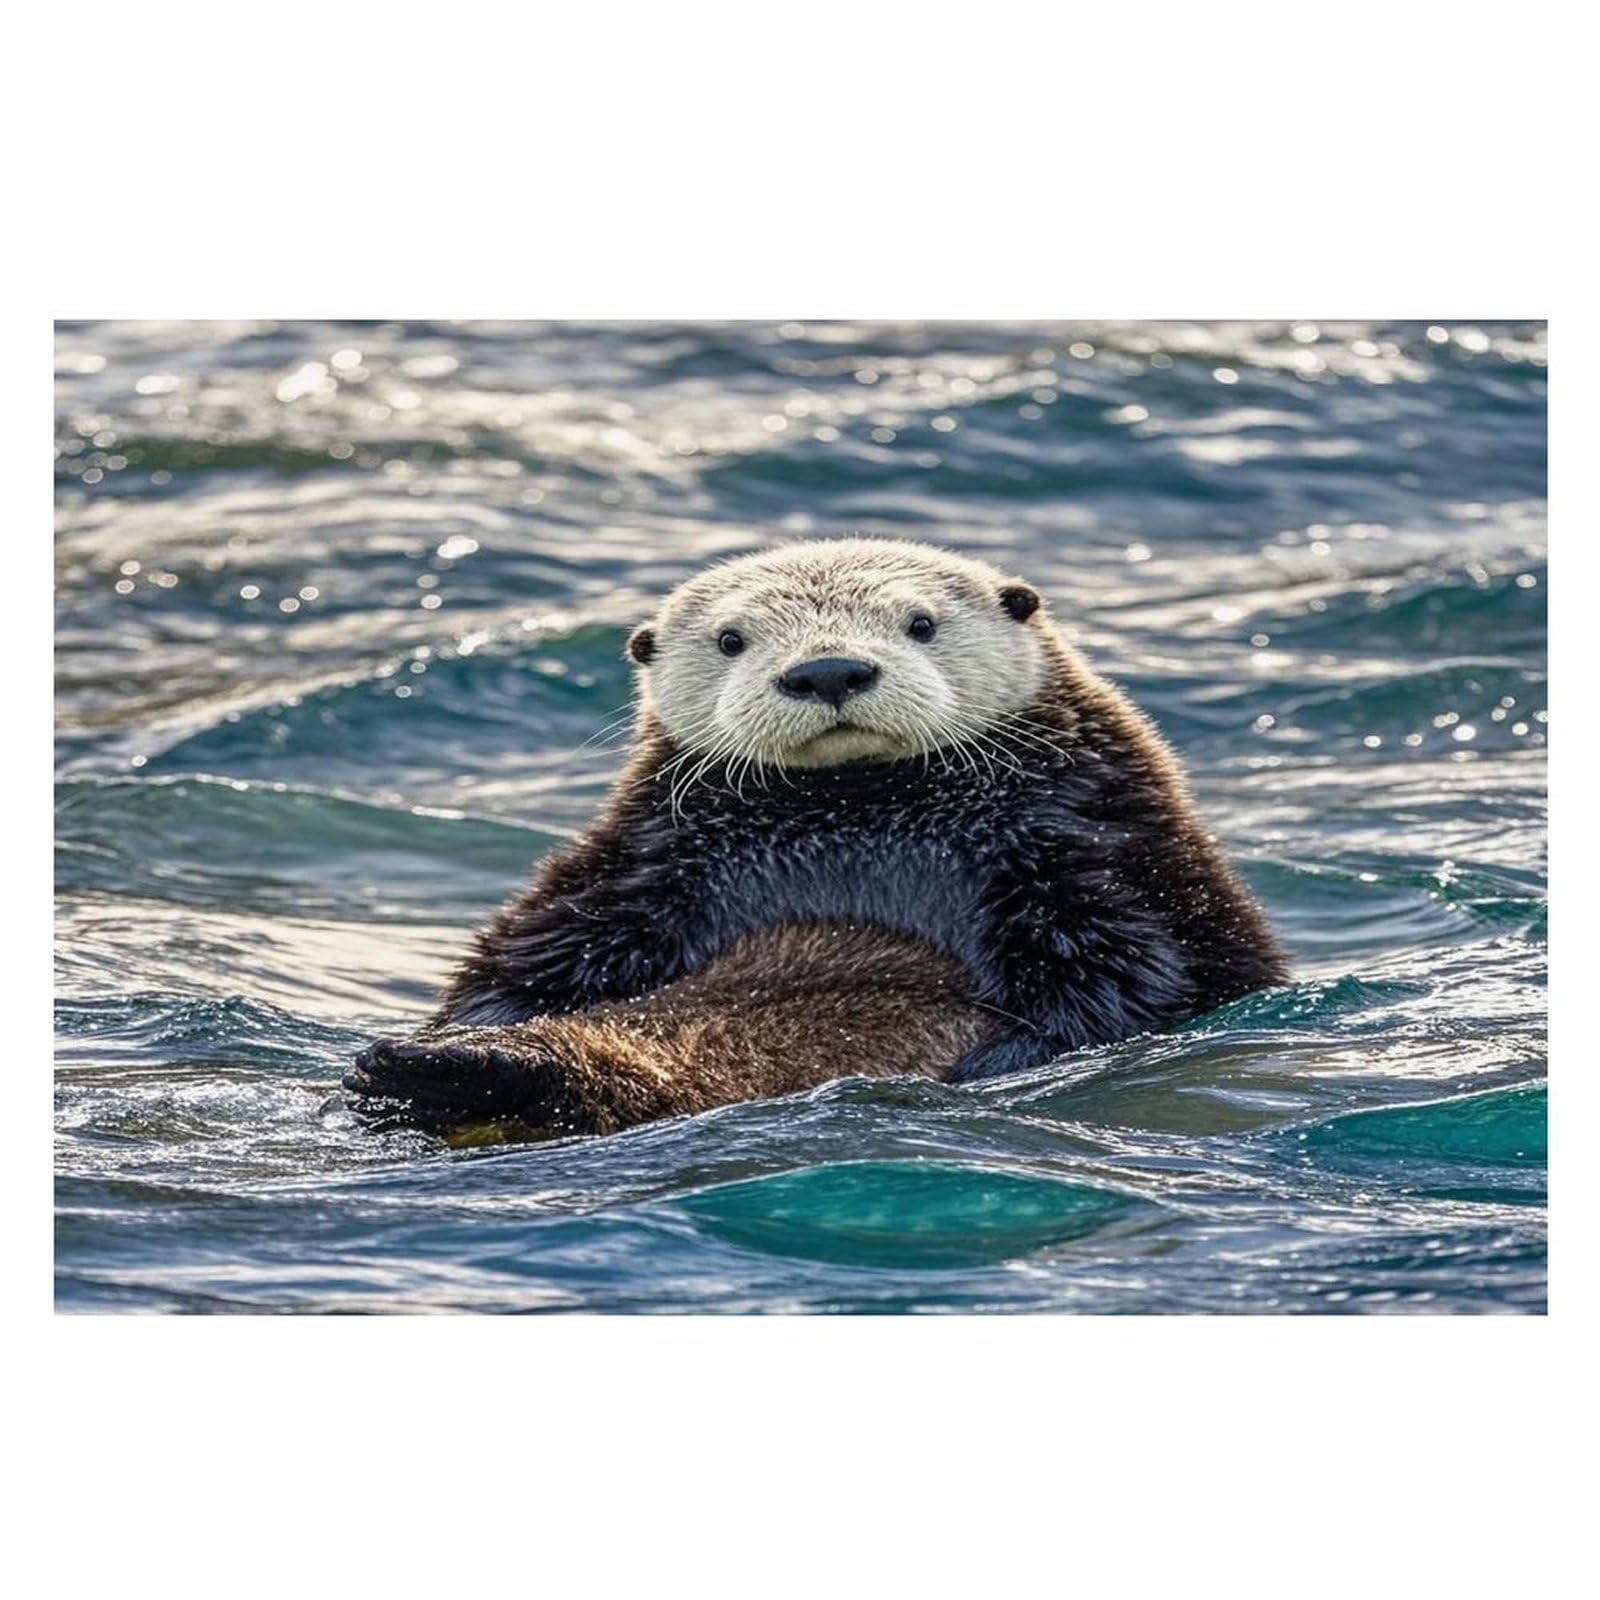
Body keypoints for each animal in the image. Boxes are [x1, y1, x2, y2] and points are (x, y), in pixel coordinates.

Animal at [346, 539, 1286, 1136]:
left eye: (920, 624)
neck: (859, 818)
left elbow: (1131, 970)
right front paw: (448, 1035)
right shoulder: (637, 865)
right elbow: (529, 957)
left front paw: (998, 1062)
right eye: (731, 639)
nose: (828, 670)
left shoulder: (1088, 847)